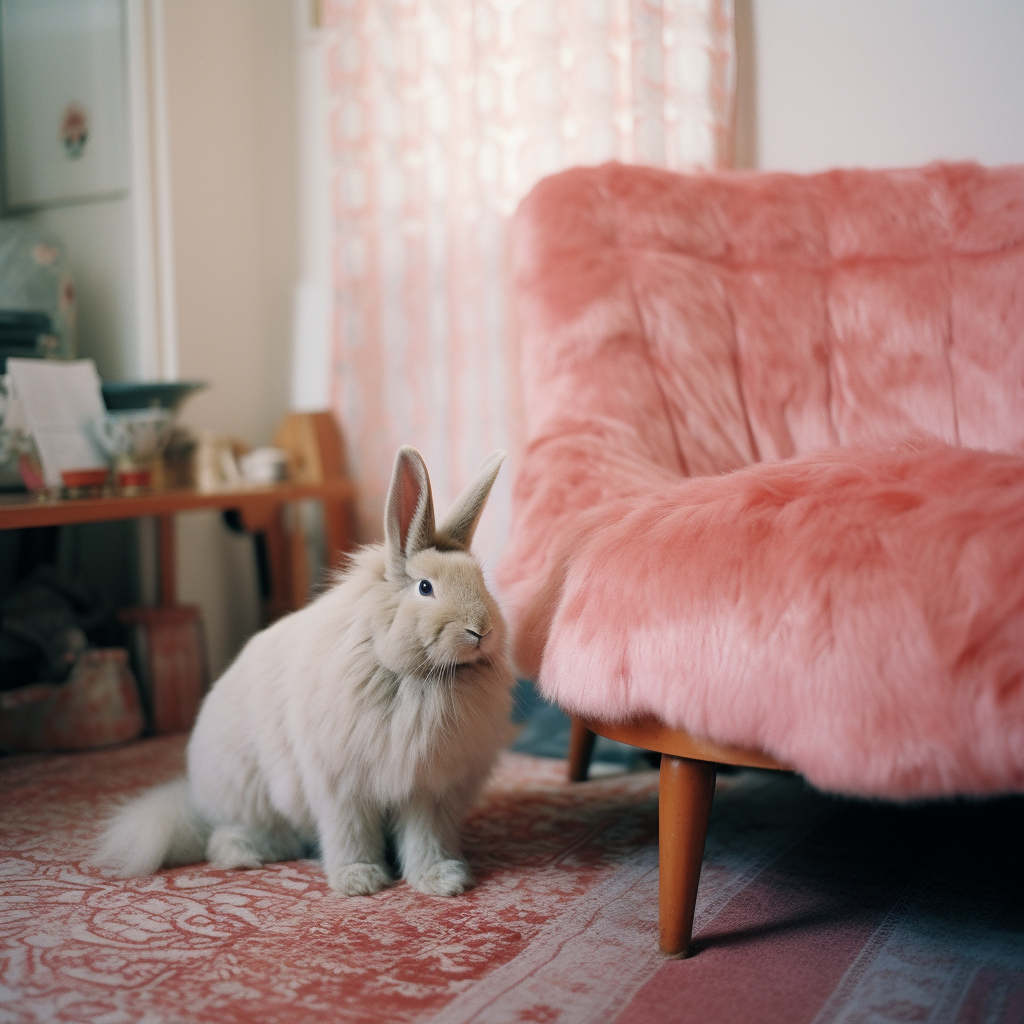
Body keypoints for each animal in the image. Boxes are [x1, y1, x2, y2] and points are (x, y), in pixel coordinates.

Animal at [90, 448, 512, 897]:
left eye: (480, 580)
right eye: (425, 587)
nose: (482, 631)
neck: (416, 675)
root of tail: (197, 803)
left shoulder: (429, 791)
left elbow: (425, 839)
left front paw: (442, 880)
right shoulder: (341, 787)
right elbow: (350, 834)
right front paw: (359, 881)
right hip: (256, 805)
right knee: (225, 839)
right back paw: (246, 855)